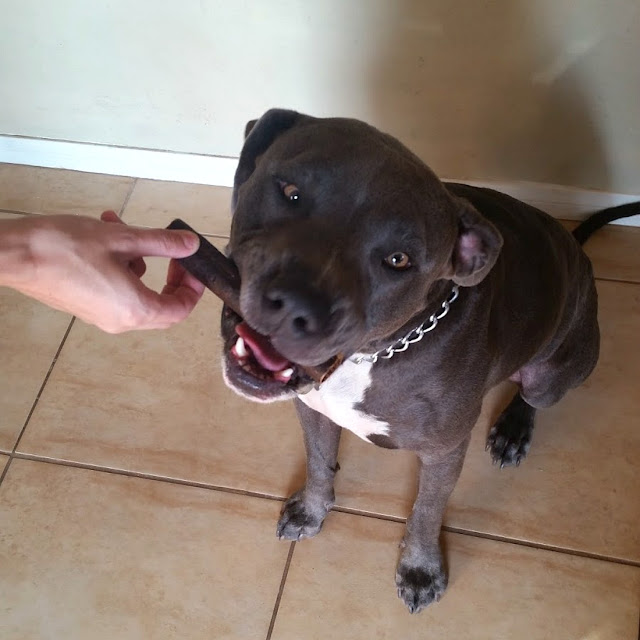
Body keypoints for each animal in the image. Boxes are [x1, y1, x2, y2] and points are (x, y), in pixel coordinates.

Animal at [220, 108, 638, 613]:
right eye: (290, 192)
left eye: (399, 260)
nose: (298, 306)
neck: (374, 355)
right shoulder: (312, 407)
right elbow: (320, 461)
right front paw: (312, 509)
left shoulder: (444, 451)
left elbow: (426, 510)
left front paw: (420, 569)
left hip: (554, 372)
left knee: (532, 392)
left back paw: (513, 429)